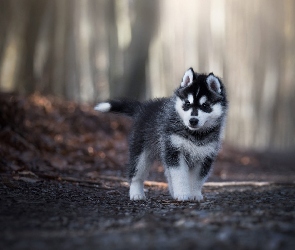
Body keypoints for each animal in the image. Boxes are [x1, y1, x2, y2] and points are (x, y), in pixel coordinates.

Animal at [95, 68, 229, 201]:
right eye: (187, 104)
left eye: (205, 105)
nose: (193, 120)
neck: (195, 135)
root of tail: (144, 107)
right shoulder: (174, 150)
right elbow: (180, 176)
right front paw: (182, 194)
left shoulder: (205, 156)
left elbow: (197, 179)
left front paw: (194, 194)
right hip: (141, 153)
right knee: (136, 173)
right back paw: (136, 193)